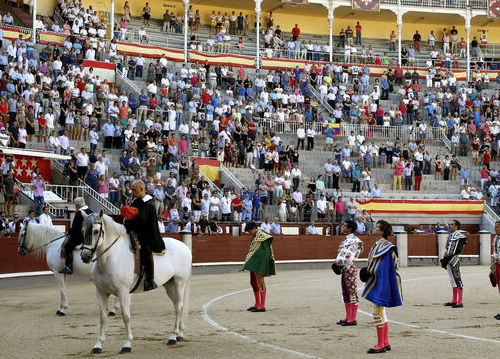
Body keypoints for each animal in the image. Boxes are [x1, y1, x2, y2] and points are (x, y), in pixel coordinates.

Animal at [81, 211, 192, 354]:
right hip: (169, 285)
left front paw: (127, 344)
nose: (85, 256)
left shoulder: (123, 292)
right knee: (177, 306)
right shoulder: (101, 292)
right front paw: (98, 345)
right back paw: (179, 334)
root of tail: (184, 246)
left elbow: (126, 316)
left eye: (95, 231)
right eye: (82, 231)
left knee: (179, 307)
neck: (110, 258)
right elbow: (103, 317)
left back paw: (173, 337)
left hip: (179, 283)